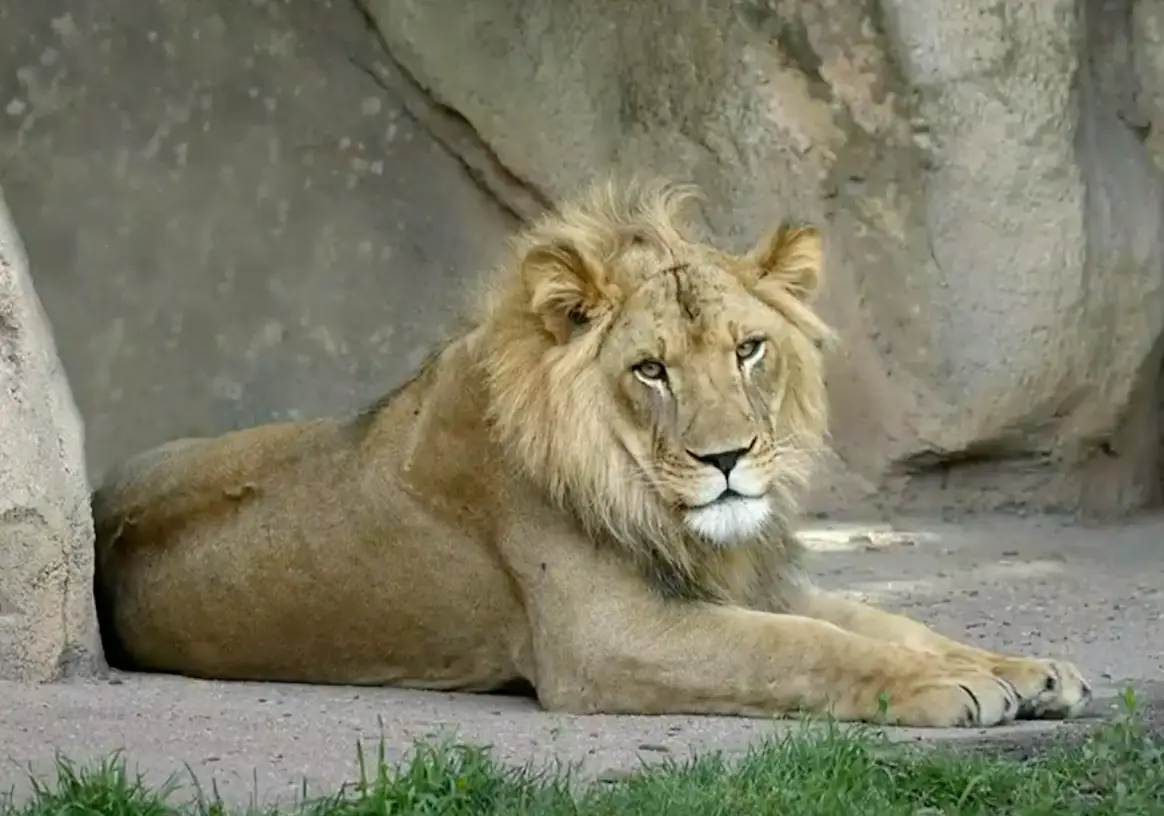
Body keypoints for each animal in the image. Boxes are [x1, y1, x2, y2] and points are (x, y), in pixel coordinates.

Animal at [92, 179, 1091, 728]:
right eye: (651, 370)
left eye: (749, 350)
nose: (728, 458)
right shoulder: (609, 640)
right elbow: (803, 647)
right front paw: (951, 686)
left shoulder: (746, 582)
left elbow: (886, 621)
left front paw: (1022, 670)